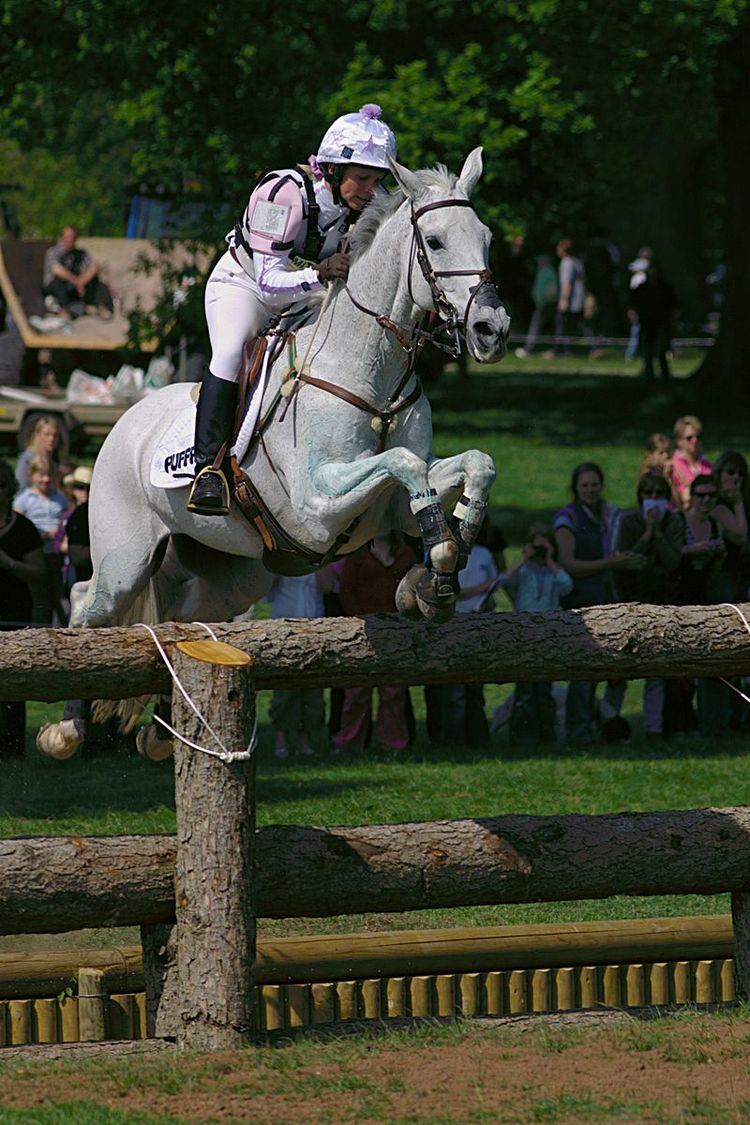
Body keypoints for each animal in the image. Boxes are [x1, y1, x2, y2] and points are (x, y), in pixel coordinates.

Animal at [39, 149, 510, 760]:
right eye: (433, 241)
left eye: (487, 237)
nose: (492, 330)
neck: (371, 374)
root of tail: (126, 420)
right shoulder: (317, 507)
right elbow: (403, 467)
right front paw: (439, 567)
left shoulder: (387, 510)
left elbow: (472, 466)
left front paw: (436, 572)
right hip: (126, 557)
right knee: (85, 601)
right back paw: (67, 728)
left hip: (231, 575)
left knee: (184, 618)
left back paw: (159, 730)